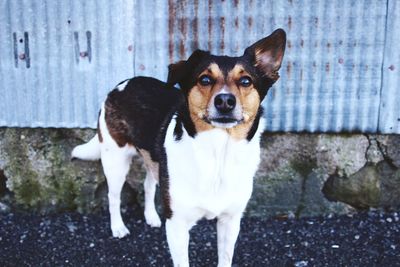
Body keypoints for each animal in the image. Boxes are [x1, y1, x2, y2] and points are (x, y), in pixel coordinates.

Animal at [71, 28, 284, 266]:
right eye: (205, 79)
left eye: (246, 81)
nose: (225, 101)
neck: (217, 153)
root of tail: (120, 85)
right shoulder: (177, 226)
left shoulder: (230, 221)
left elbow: (225, 257)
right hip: (115, 160)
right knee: (113, 195)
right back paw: (118, 227)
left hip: (154, 160)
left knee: (148, 184)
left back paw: (151, 216)